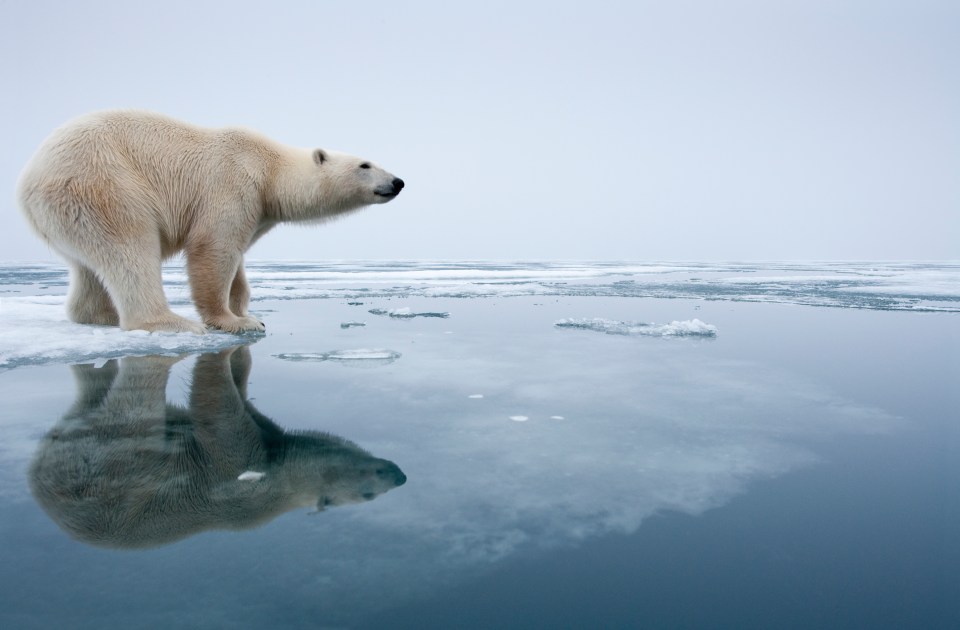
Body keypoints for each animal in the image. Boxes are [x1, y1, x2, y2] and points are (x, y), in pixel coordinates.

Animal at [16, 111, 404, 336]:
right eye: (365, 165)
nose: (398, 181)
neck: (269, 169)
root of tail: (27, 182)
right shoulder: (233, 183)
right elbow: (213, 249)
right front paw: (235, 322)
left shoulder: (257, 210)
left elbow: (239, 261)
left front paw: (248, 310)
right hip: (103, 184)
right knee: (130, 247)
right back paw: (171, 323)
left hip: (70, 211)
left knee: (89, 265)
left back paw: (101, 316)